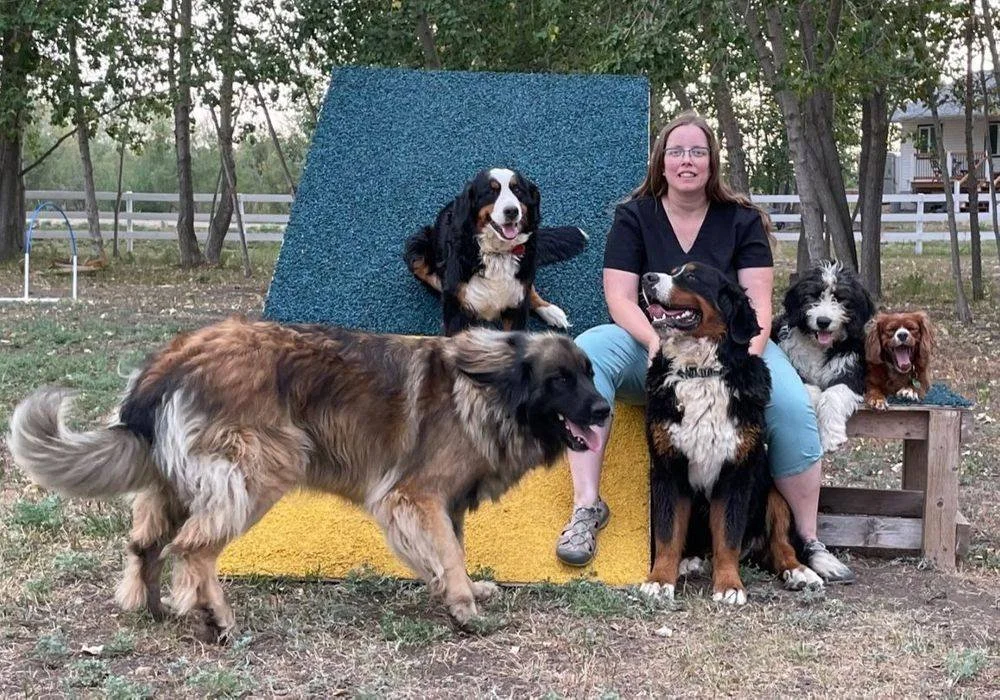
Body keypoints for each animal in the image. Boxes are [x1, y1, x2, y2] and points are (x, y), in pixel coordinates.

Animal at [8, 318, 610, 641]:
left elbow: (446, 551)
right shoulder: (413, 496)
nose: (605, 410)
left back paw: (152, 605)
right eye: (560, 380)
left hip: (172, 485)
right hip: (262, 471)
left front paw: (453, 589)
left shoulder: (438, 503)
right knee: (194, 547)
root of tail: (173, 360)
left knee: (144, 544)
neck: (490, 391)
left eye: (589, 373)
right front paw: (463, 605)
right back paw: (217, 616)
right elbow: (448, 552)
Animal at [404, 168, 588, 335]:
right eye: (491, 192)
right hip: (416, 248)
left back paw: (550, 310)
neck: (497, 253)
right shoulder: (456, 313)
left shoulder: (516, 308)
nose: (512, 211)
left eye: (517, 190)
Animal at [639, 264, 825, 606]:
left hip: (773, 492)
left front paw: (728, 585)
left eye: (692, 276)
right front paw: (659, 581)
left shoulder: (736, 473)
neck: (699, 372)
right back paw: (689, 561)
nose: (648, 279)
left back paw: (800, 572)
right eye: (672, 271)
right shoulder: (668, 470)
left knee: (780, 545)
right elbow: (668, 533)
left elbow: (727, 535)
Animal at [772, 260, 876, 453]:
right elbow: (811, 392)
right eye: (813, 296)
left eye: (840, 298)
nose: (823, 321)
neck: (819, 347)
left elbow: (832, 396)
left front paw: (832, 436)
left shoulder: (850, 373)